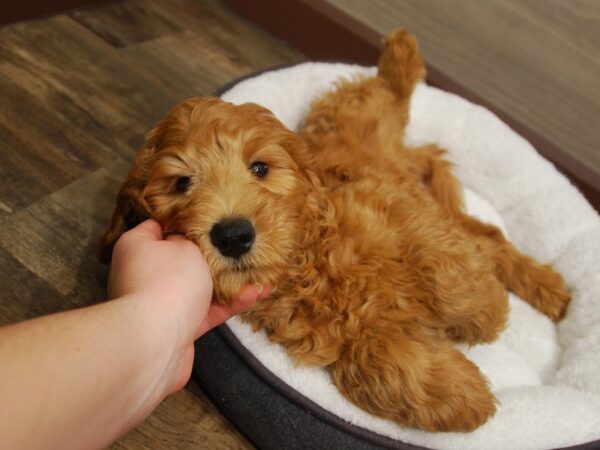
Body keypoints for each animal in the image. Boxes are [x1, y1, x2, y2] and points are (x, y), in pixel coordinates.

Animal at [101, 29, 568, 430]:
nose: (232, 235)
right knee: (475, 221)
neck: (309, 259)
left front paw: (484, 314)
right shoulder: (332, 333)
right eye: (181, 184)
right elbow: (378, 359)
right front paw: (466, 398)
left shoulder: (394, 203)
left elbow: (445, 271)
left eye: (260, 168)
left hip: (368, 130)